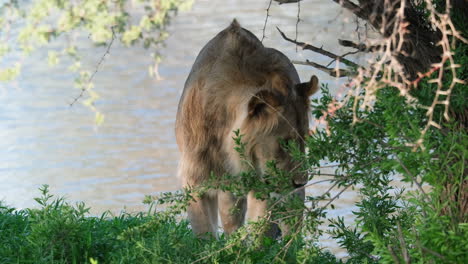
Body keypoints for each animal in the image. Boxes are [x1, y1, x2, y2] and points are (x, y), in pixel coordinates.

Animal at [176, 19, 318, 236]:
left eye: (305, 141)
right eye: (285, 143)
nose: (301, 182)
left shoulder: (262, 185)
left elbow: (259, 233)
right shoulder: (194, 180)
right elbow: (205, 233)